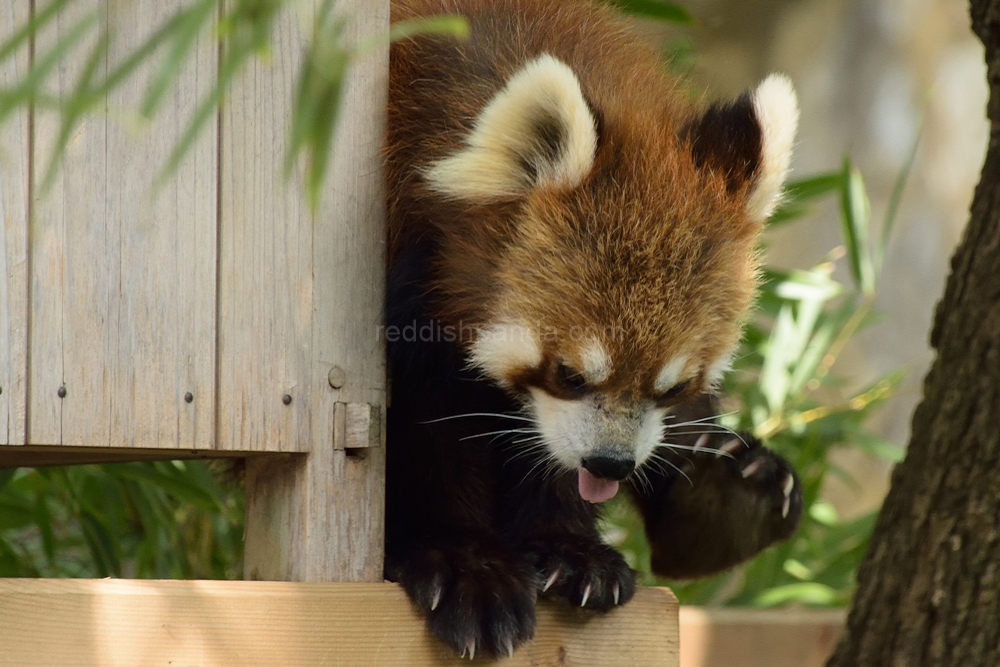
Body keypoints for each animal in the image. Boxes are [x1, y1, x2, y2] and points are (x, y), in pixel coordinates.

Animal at [382, 0, 804, 660]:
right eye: (569, 373)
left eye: (673, 387)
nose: (611, 465)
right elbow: (423, 433)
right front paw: (462, 561)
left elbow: (543, 447)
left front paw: (571, 551)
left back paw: (733, 499)